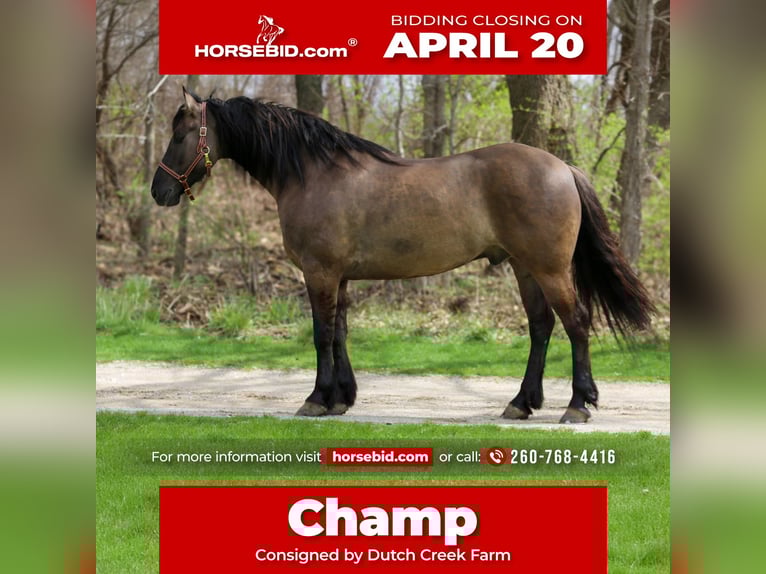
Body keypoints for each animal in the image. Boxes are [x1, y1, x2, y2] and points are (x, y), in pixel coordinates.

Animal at [152, 88, 655, 424]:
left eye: (178, 135)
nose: (159, 192)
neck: (314, 173)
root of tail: (563, 168)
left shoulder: (319, 273)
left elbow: (321, 334)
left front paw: (316, 399)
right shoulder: (339, 276)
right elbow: (340, 333)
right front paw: (341, 399)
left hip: (548, 268)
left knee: (577, 324)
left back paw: (577, 405)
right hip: (524, 268)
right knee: (541, 327)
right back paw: (520, 403)